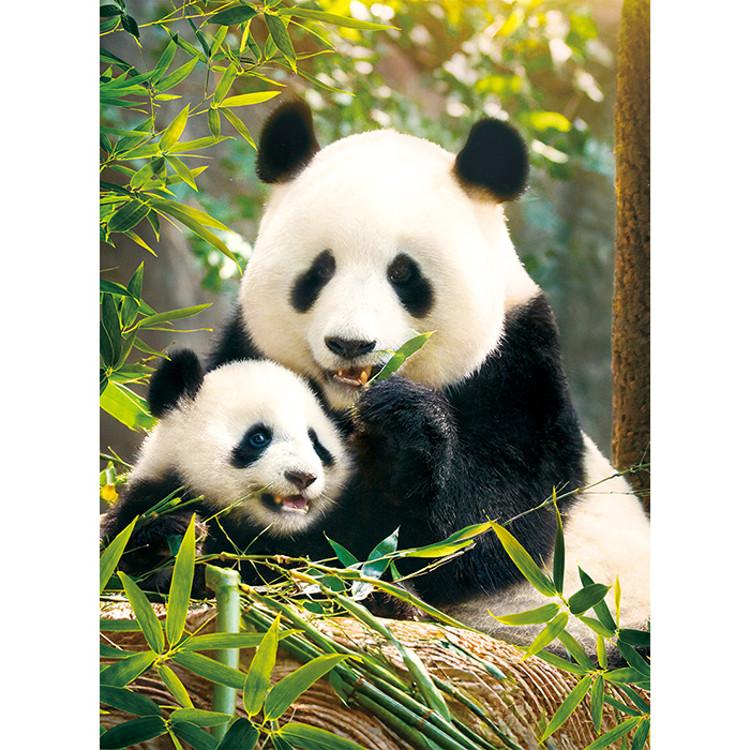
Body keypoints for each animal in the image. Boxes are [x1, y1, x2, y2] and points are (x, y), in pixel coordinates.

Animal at [101, 350, 351, 592]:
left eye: (315, 443)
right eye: (258, 438)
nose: (302, 476)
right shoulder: (149, 494)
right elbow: (121, 560)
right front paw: (177, 531)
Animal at [207, 100, 650, 648]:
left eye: (402, 274)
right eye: (320, 270)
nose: (350, 344)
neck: (346, 408)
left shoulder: (519, 367)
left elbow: (490, 527)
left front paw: (407, 425)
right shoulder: (246, 354)